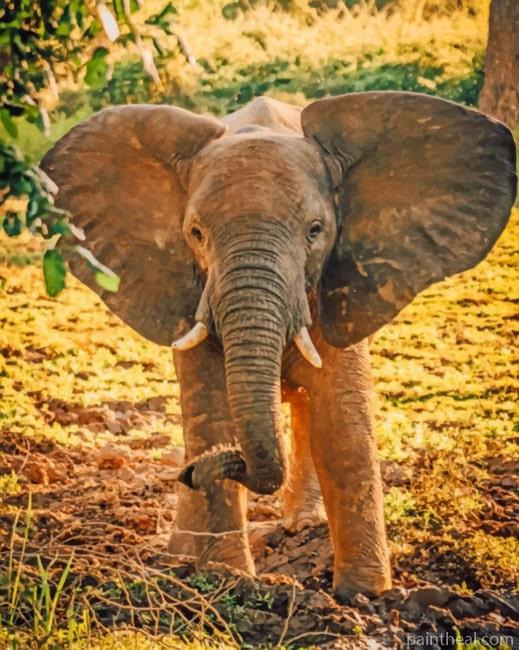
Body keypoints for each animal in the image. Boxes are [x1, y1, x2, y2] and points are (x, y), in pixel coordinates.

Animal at [41, 92, 516, 599]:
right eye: (196, 234)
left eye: (316, 230)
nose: (193, 472)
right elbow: (211, 415)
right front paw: (225, 577)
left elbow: (343, 426)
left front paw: (363, 595)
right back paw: (183, 556)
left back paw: (300, 527)